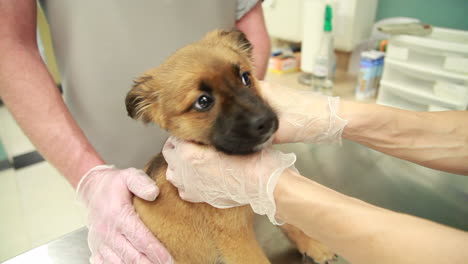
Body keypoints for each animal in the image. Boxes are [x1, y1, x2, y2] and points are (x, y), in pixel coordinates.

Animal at [126, 29, 334, 264]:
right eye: (203, 101)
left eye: (245, 78)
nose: (266, 121)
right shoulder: (234, 236)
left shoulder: (269, 196)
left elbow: (293, 224)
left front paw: (315, 245)